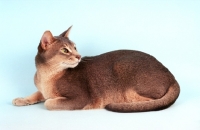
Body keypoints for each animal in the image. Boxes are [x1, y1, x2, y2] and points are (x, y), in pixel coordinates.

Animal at [12, 26, 181, 111]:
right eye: (65, 50)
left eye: (75, 47)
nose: (79, 56)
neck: (46, 75)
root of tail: (172, 77)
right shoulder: (41, 88)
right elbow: (37, 94)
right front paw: (21, 99)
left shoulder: (80, 98)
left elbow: (48, 102)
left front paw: (49, 99)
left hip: (122, 67)